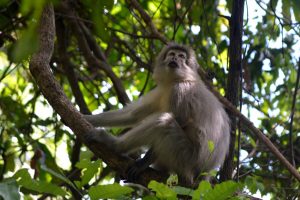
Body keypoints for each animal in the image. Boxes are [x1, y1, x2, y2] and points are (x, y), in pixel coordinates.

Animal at [83, 43, 231, 187]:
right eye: (172, 54)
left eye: (181, 56)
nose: (175, 58)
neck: (176, 79)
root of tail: (204, 174)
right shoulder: (162, 90)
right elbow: (133, 115)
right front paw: (85, 118)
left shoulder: (181, 90)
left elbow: (181, 121)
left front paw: (141, 164)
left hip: (187, 159)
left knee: (164, 123)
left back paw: (114, 144)